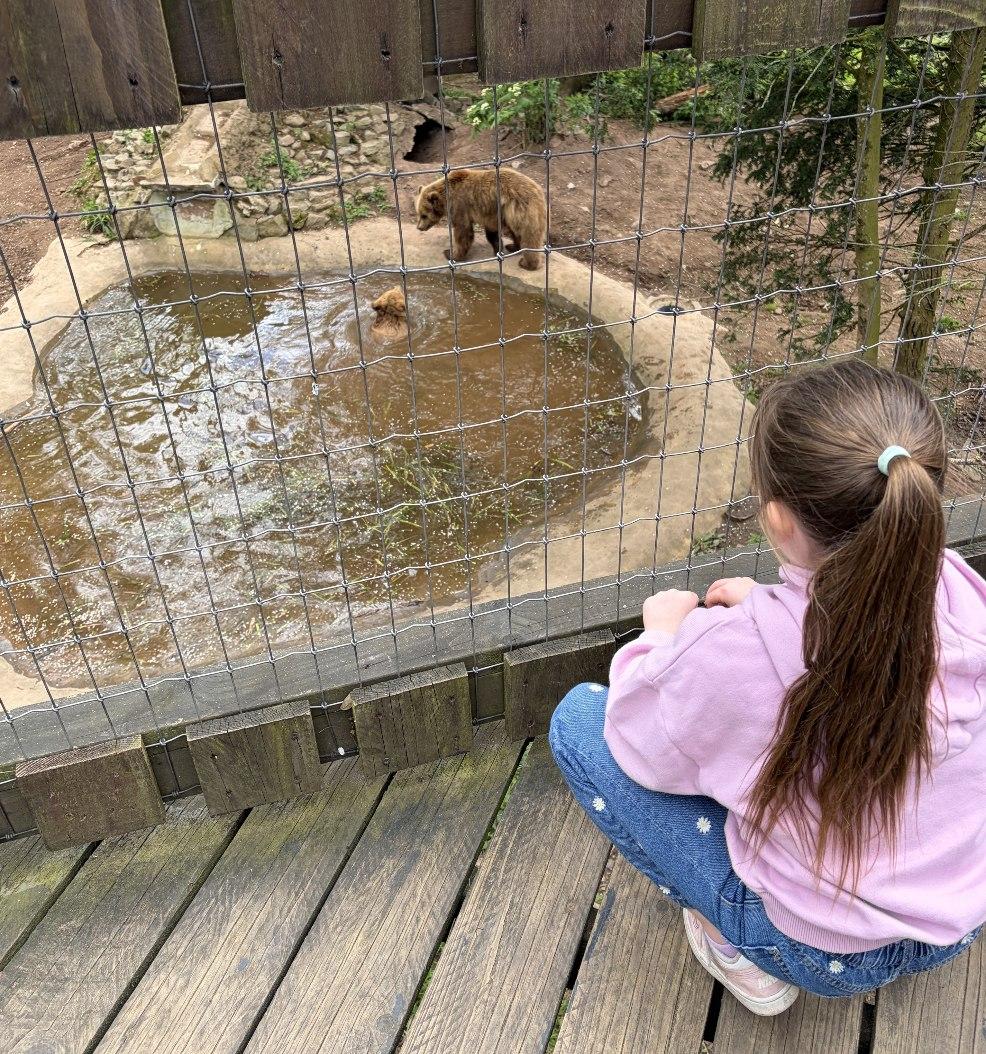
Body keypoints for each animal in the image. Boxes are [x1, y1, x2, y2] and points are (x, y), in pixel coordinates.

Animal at [414, 168, 547, 270]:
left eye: (424, 215)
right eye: (418, 213)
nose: (419, 227)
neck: (447, 199)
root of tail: (539, 191)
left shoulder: (460, 206)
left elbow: (463, 232)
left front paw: (451, 254)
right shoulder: (490, 212)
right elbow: (492, 232)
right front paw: (498, 248)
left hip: (521, 208)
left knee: (529, 236)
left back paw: (527, 263)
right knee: (517, 232)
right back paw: (513, 247)